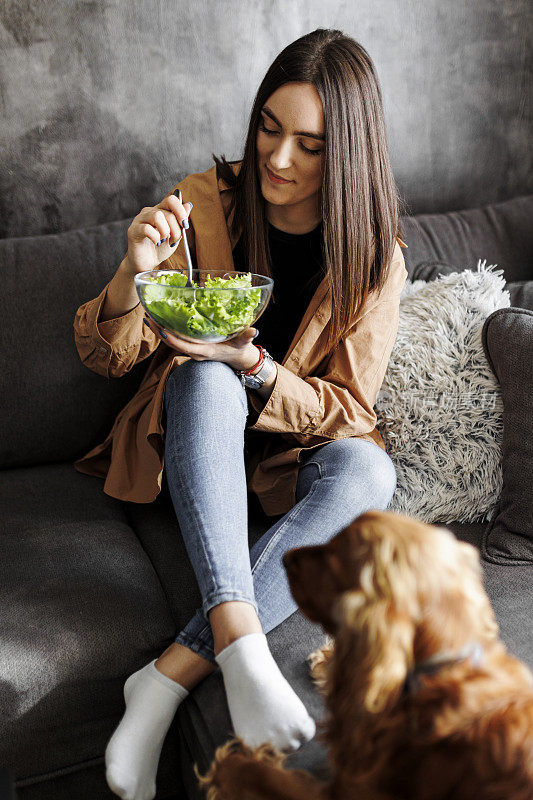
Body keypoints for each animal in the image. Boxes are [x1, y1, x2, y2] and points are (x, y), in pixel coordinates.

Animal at [197, 512, 532, 800]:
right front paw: (328, 662)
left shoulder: (342, 792)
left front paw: (229, 765)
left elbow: (262, 776)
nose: (286, 557)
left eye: (334, 556)